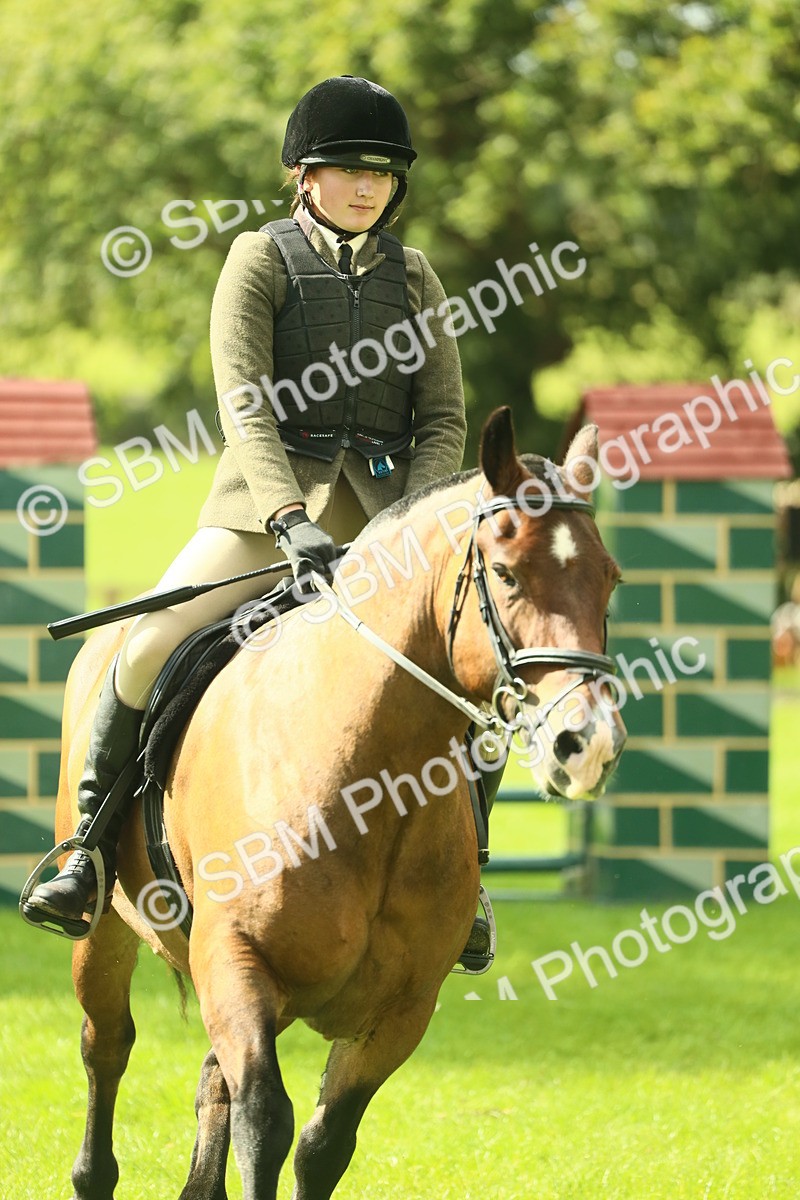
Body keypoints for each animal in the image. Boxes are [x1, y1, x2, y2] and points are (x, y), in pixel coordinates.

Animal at [46, 407, 626, 1200]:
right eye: (505, 573)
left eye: (610, 582)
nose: (588, 743)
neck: (374, 789)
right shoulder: (236, 961)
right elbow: (266, 1122)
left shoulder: (400, 1010)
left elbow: (323, 1144)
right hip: (105, 935)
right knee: (106, 1048)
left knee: (210, 1082)